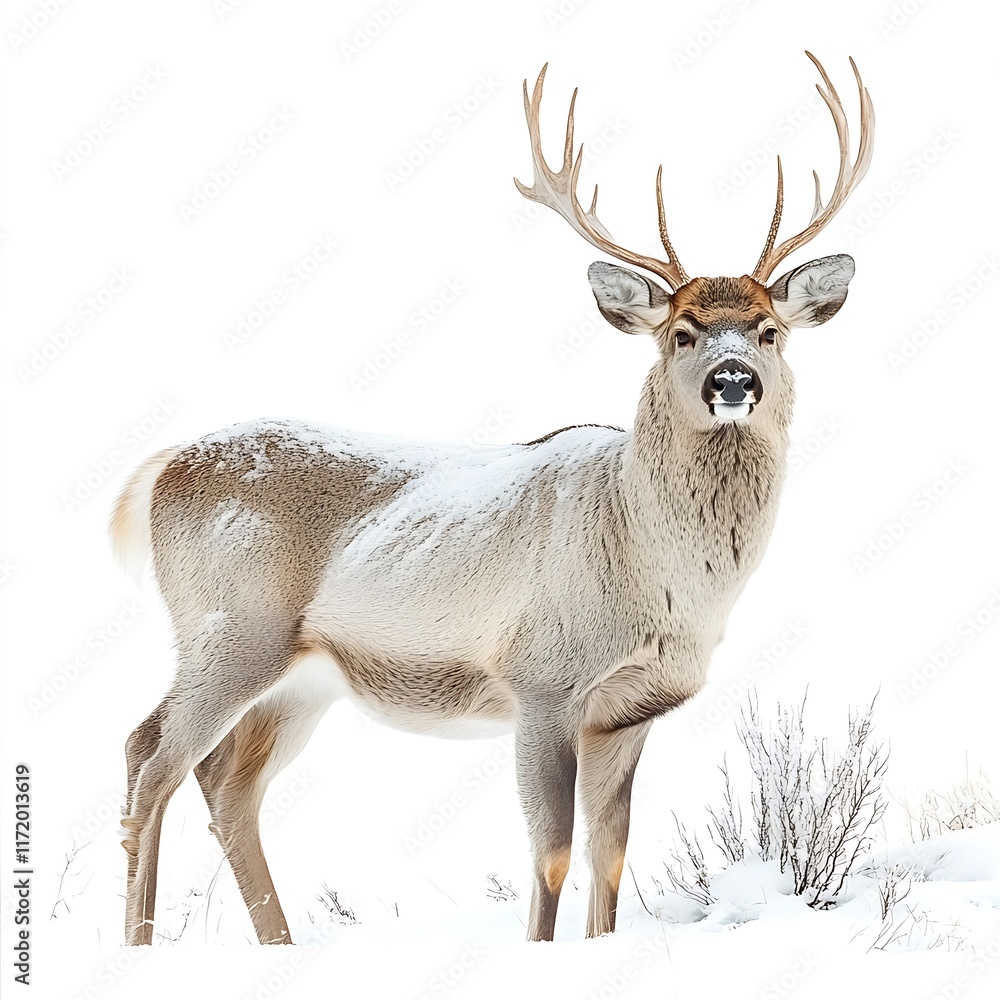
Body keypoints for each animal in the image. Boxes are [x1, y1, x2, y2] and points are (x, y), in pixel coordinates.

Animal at [112, 51, 873, 946]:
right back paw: (136, 945)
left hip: (301, 678)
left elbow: (610, 859)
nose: (732, 381)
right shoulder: (542, 679)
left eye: (769, 331)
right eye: (679, 332)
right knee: (150, 755)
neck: (655, 568)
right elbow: (550, 854)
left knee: (227, 784)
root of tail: (159, 472)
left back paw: (277, 944)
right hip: (227, 626)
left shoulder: (628, 708)